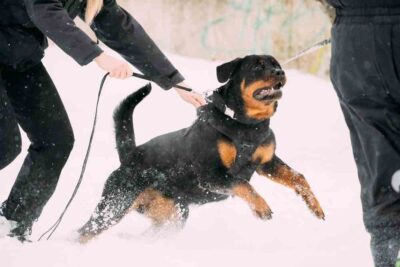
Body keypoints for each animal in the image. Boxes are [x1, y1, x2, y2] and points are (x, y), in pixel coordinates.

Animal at [78, 54, 324, 243]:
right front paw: (261, 207)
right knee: (85, 231)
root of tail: (130, 154)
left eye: (276, 64)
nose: (280, 72)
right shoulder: (210, 174)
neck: (247, 124)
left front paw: (315, 207)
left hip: (174, 214)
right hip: (116, 202)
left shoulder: (267, 163)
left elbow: (298, 177)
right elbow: (242, 184)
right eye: (258, 66)